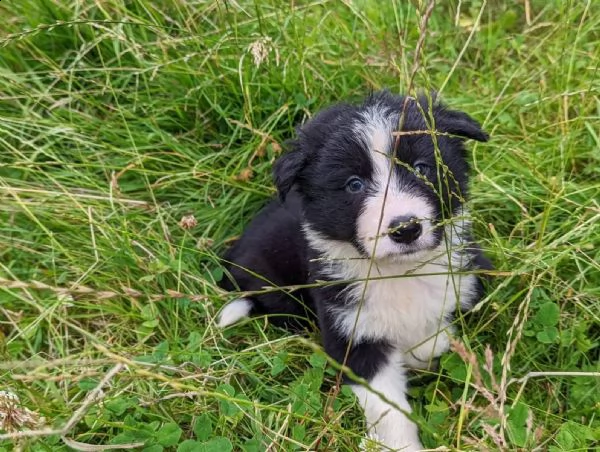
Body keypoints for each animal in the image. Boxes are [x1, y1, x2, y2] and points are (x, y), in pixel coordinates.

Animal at [218, 90, 490, 450]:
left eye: (421, 168)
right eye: (354, 184)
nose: (405, 228)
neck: (399, 272)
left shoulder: (465, 281)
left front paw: (425, 344)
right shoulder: (352, 334)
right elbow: (388, 410)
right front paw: (402, 445)